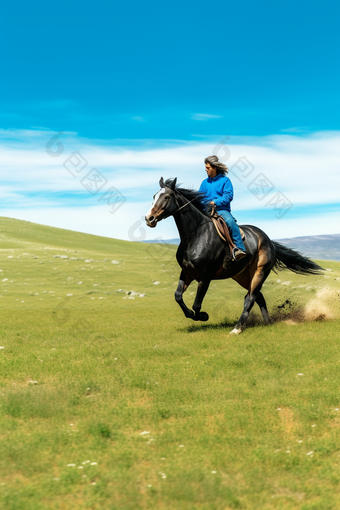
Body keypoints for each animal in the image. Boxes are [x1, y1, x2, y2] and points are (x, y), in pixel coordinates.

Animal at [144, 177, 324, 332]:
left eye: (167, 196)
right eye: (154, 196)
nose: (149, 218)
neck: (196, 234)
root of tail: (268, 240)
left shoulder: (206, 277)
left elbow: (196, 304)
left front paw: (203, 316)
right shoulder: (187, 272)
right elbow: (178, 296)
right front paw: (192, 315)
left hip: (260, 272)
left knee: (250, 298)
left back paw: (237, 328)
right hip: (242, 276)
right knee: (258, 297)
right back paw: (267, 323)